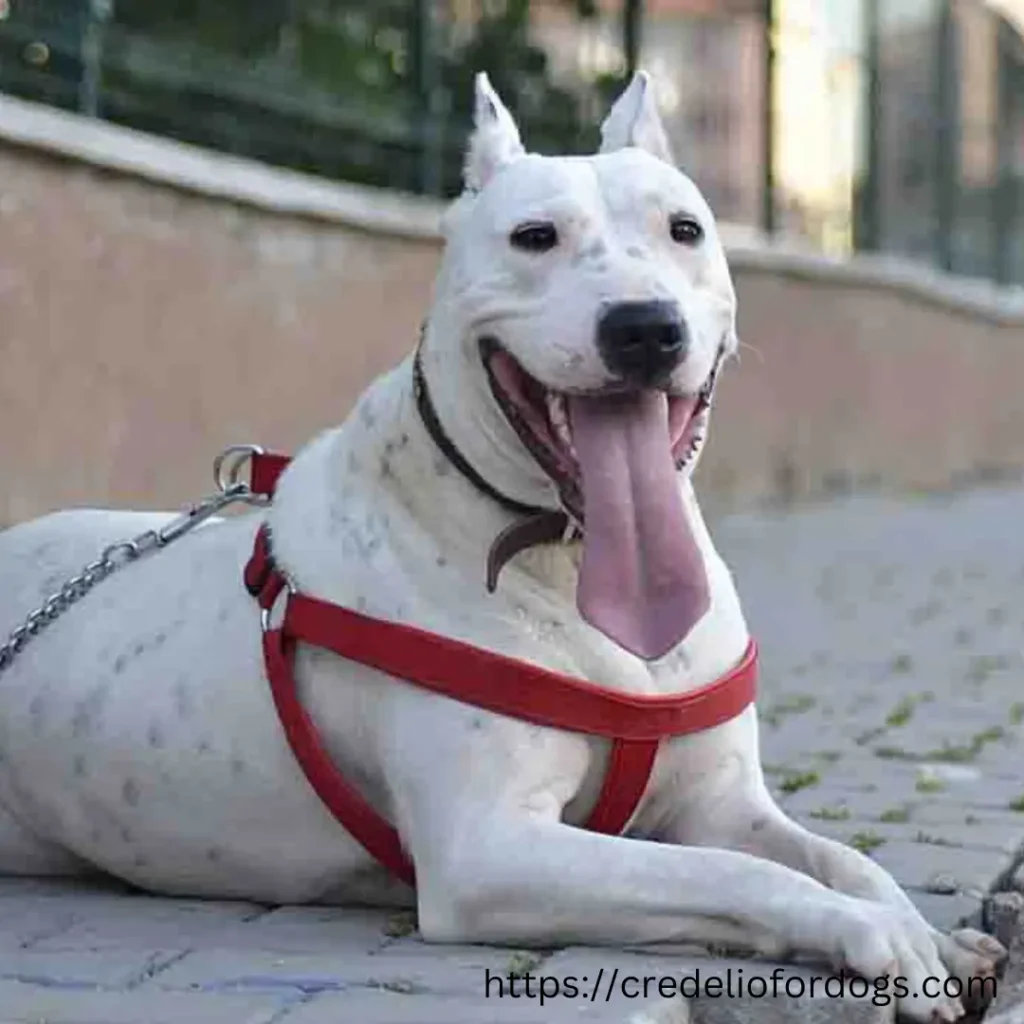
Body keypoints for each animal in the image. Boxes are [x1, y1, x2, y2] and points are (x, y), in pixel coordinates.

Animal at [0, 70, 1003, 1015]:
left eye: (684, 229)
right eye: (534, 237)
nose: (644, 327)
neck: (566, 556)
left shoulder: (720, 802)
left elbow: (843, 858)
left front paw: (925, 929)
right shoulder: (492, 851)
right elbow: (735, 873)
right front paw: (875, 936)